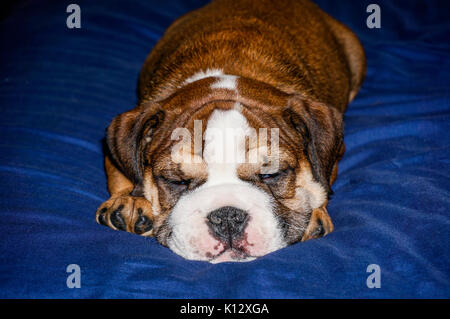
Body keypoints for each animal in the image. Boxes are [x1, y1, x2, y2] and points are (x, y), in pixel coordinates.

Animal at [96, 0, 366, 262]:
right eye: (176, 181)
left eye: (271, 175)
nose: (227, 216)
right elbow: (122, 173)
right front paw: (131, 200)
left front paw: (315, 214)